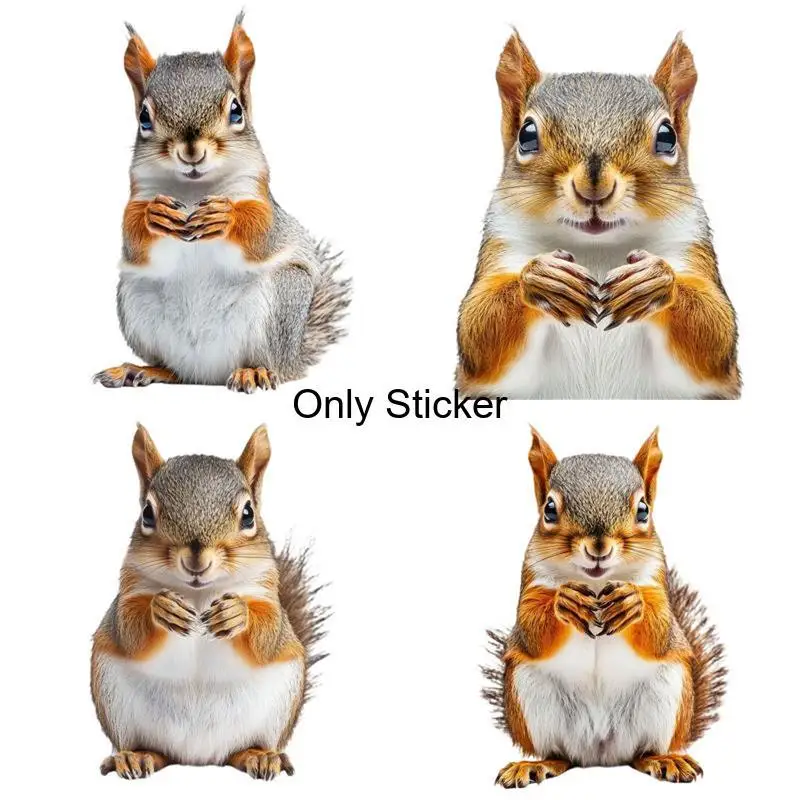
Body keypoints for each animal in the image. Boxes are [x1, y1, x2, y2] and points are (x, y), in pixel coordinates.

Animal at [91, 424, 327, 779]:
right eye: (147, 513)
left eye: (248, 515)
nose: (196, 560)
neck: (199, 593)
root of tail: (199, 758)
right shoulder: (128, 593)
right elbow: (129, 631)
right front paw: (162, 608)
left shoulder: (268, 595)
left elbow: (269, 635)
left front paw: (237, 614)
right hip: (113, 698)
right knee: (151, 749)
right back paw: (136, 756)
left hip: (280, 702)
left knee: (243, 749)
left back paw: (259, 756)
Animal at [93, 13, 350, 393]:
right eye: (144, 117)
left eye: (236, 111)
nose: (191, 153)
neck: (192, 189)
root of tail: (208, 373)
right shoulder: (139, 190)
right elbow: (132, 235)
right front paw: (155, 214)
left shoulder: (258, 193)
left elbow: (261, 232)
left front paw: (226, 216)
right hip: (135, 301)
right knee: (175, 370)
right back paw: (140, 369)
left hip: (281, 301)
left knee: (270, 363)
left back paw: (255, 371)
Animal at [456, 32, 740, 399]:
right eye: (526, 135)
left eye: (667, 137)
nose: (594, 187)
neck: (598, 250)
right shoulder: (503, 246)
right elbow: (478, 332)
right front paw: (542, 278)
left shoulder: (689, 249)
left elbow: (715, 334)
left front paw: (653, 280)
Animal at [483, 427, 725, 786]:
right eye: (549, 509)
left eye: (643, 510)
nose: (598, 548)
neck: (597, 583)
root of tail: (600, 754)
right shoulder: (530, 584)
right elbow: (531, 632)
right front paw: (564, 601)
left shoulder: (657, 585)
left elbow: (661, 633)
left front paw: (633, 602)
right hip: (531, 696)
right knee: (560, 755)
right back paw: (537, 765)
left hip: (667, 694)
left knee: (641, 753)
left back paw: (664, 759)